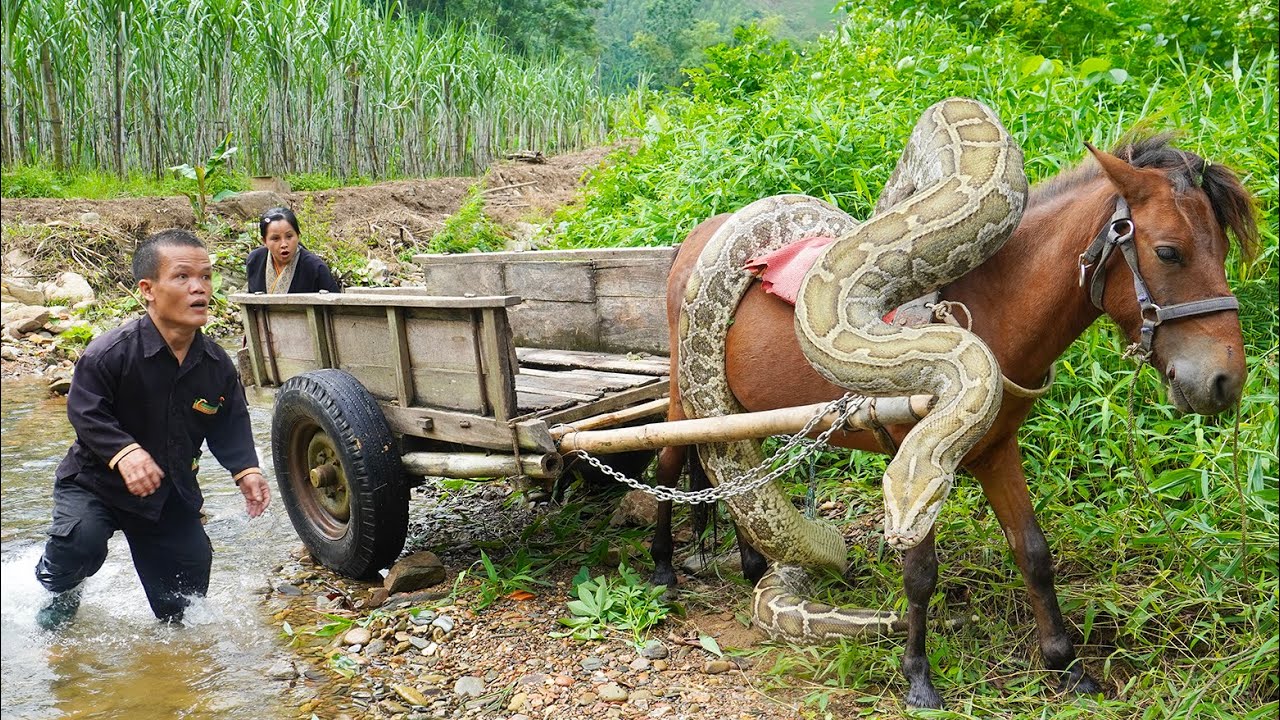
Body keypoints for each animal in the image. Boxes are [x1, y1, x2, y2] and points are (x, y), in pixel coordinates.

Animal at [647, 134, 1257, 708]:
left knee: (736, 479)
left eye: (1225, 249)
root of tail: (697, 235)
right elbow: (920, 575)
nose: (1223, 379)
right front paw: (918, 678)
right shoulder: (905, 442)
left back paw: (755, 563)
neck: (988, 312)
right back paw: (662, 568)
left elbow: (1033, 553)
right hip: (684, 390)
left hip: (740, 410)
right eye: (1169, 252)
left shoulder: (996, 446)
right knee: (670, 462)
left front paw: (1067, 665)